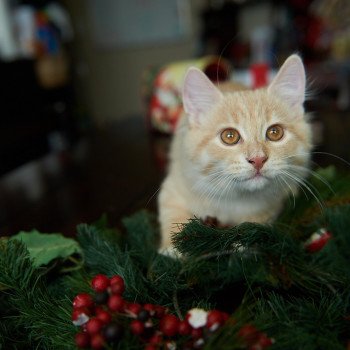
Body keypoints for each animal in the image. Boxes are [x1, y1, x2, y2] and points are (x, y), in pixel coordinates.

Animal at [158, 54, 312, 252]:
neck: (236, 199)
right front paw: (173, 247)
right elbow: (172, 214)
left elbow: (258, 222)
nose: (257, 159)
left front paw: (244, 241)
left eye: (275, 132)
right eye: (229, 136)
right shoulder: (175, 185)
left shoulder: (271, 205)